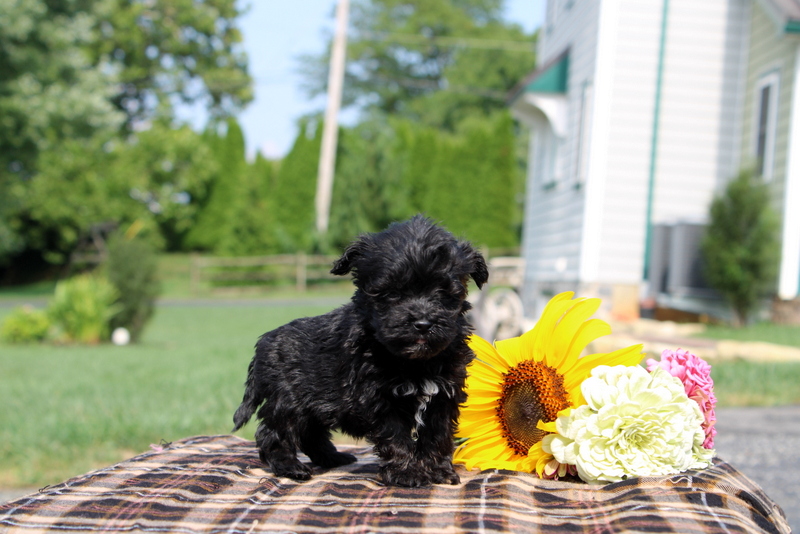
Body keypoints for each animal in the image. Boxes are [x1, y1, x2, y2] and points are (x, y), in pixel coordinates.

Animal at [231, 216, 488, 488]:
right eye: (392, 293)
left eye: (444, 293)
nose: (423, 323)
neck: (414, 362)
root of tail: (263, 344)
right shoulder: (379, 398)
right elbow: (396, 436)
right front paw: (407, 473)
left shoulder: (443, 394)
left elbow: (437, 434)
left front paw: (437, 470)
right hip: (288, 400)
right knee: (272, 434)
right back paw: (291, 468)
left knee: (310, 434)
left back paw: (333, 458)